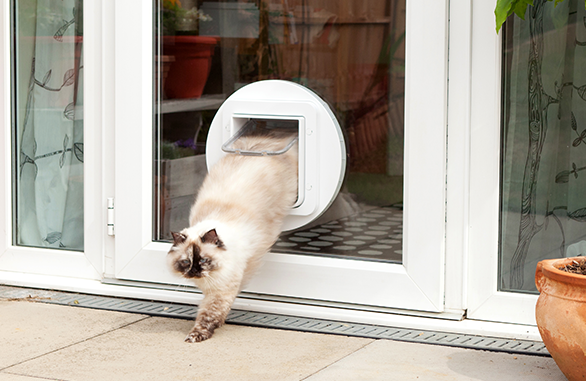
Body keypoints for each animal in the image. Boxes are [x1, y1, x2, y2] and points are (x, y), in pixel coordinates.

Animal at [168, 129, 296, 342]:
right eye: (186, 262)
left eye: (204, 260)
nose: (194, 272)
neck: (208, 280)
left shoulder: (222, 291)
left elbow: (208, 316)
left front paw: (197, 335)